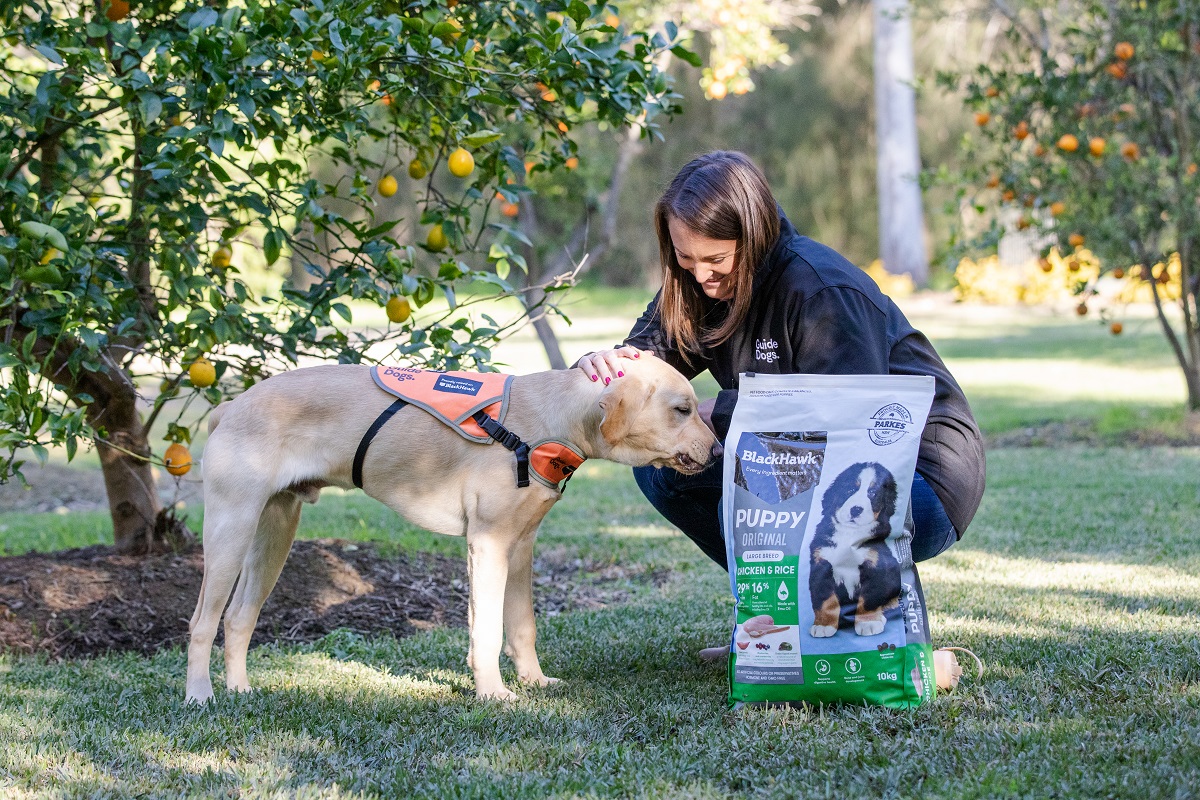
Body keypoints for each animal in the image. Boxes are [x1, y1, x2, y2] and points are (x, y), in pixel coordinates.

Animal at [182, 355, 715, 700]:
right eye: (682, 409)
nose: (716, 450)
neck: (548, 422)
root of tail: (231, 406)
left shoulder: (520, 547)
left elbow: (522, 626)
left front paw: (534, 682)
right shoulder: (488, 544)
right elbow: (488, 631)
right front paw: (493, 693)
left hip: (276, 531)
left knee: (238, 618)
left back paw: (241, 690)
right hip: (231, 530)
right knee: (202, 622)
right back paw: (201, 696)